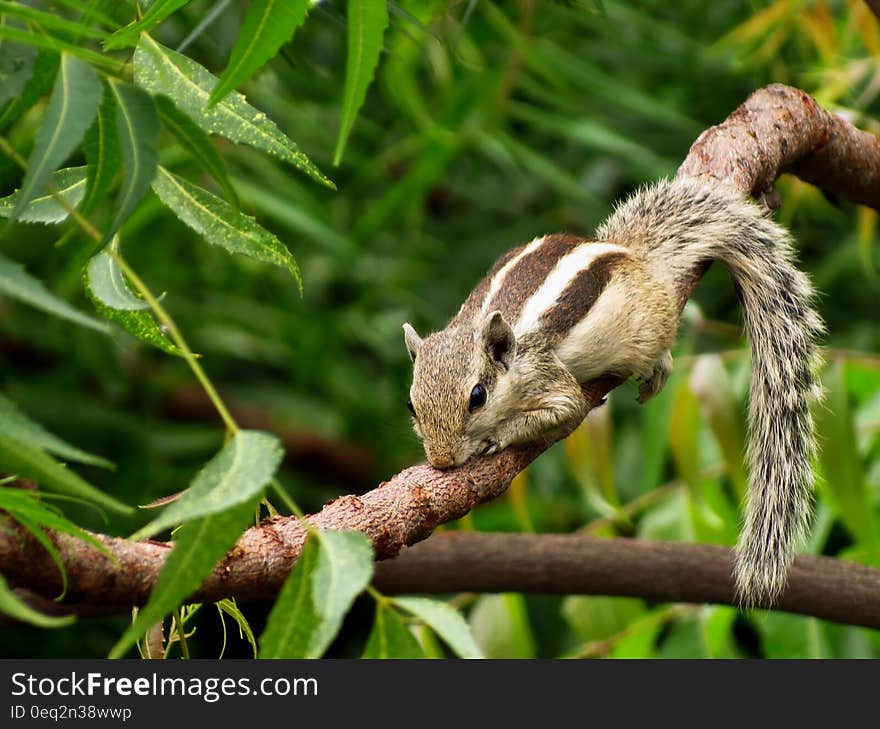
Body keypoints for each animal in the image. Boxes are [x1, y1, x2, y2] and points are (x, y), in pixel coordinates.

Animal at [404, 176, 824, 604]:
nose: (441, 460)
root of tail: (630, 252)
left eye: (477, 397)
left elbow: (566, 409)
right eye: (411, 406)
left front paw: (496, 436)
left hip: (649, 327)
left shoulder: (547, 376)